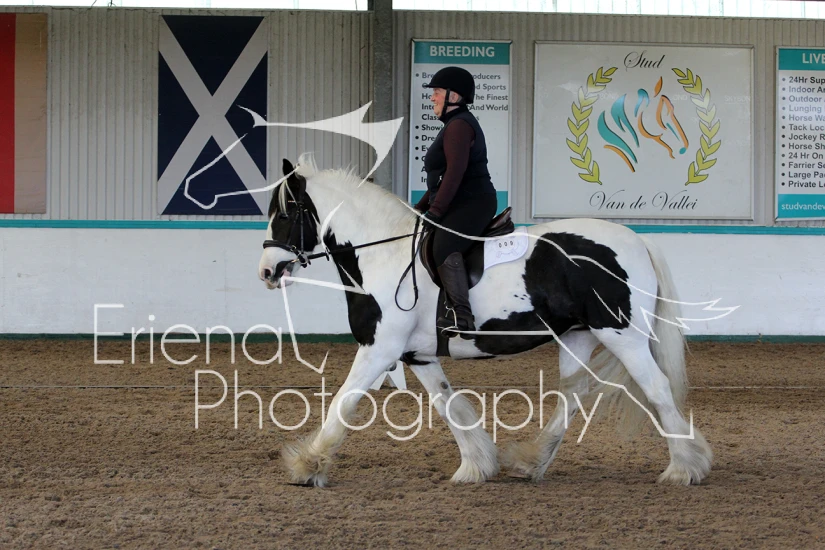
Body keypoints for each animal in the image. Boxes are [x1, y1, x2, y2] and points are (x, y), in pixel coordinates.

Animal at [257, 153, 713, 488]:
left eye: (285, 214)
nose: (267, 271)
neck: (381, 254)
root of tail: (638, 239)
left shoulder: (378, 350)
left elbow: (343, 401)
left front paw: (308, 465)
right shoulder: (416, 355)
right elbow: (448, 404)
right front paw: (476, 464)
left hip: (622, 335)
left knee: (656, 388)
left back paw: (684, 468)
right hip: (577, 335)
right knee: (573, 394)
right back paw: (531, 462)